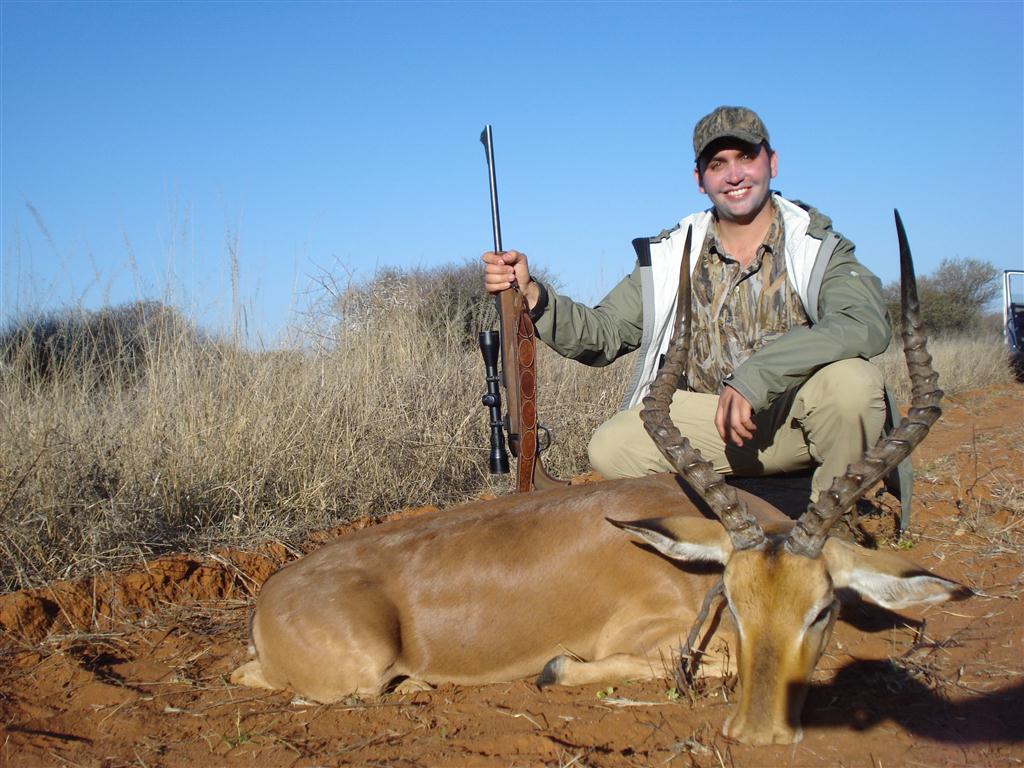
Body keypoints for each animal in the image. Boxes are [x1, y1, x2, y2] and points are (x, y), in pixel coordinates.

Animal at [232, 213, 970, 745]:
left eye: (821, 609)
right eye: (734, 602)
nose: (759, 731)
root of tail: (269, 599)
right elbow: (657, 663)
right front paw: (555, 668)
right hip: (362, 668)